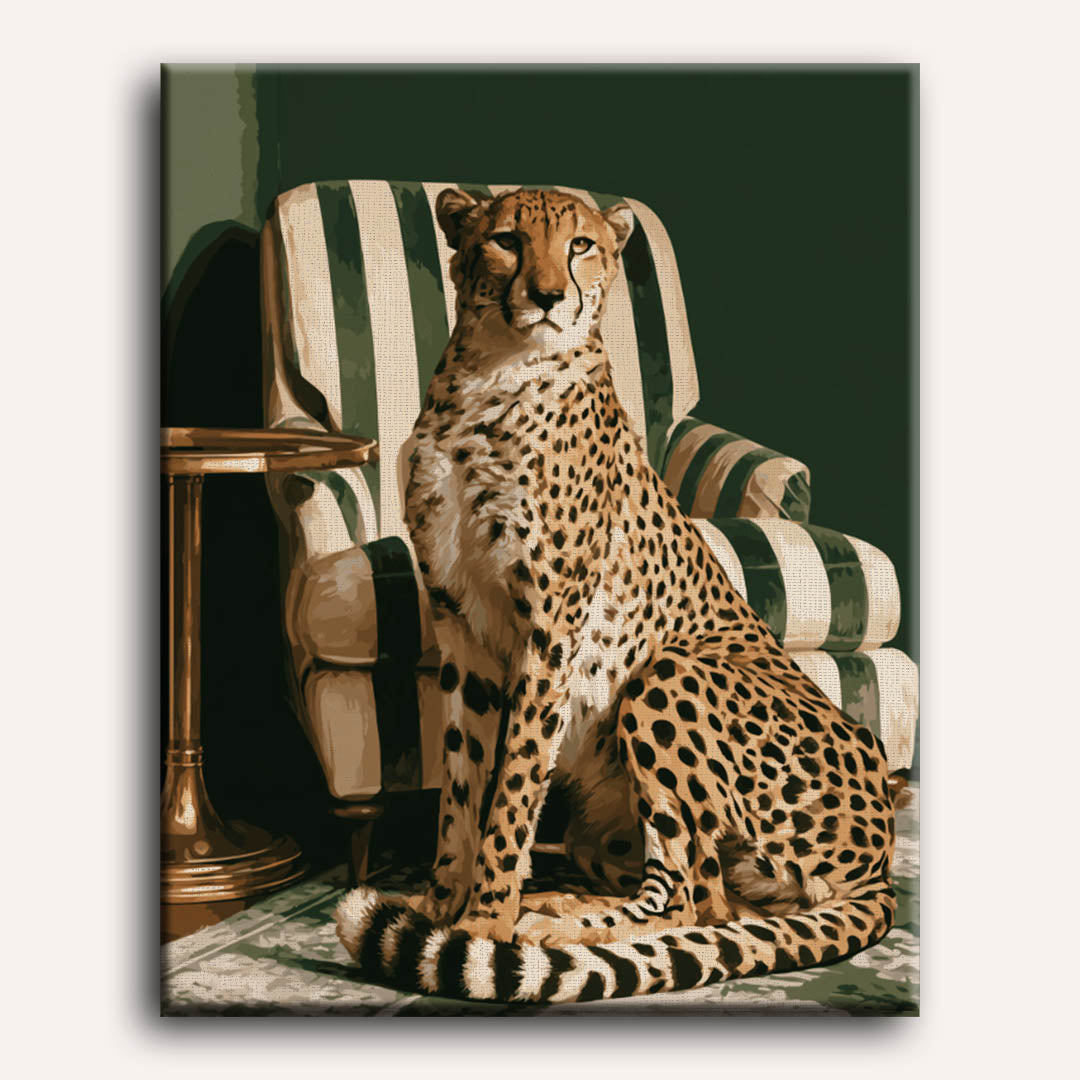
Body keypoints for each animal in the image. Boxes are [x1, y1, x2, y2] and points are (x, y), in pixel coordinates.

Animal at [335, 186, 896, 1003]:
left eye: (581, 247)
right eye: (506, 239)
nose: (547, 296)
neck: (490, 376)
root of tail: (882, 852)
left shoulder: (552, 632)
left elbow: (511, 791)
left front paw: (481, 927)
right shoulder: (463, 630)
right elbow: (462, 789)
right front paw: (443, 904)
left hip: (670, 670)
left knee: (696, 901)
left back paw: (545, 931)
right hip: (608, 823)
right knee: (705, 899)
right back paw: (556, 905)